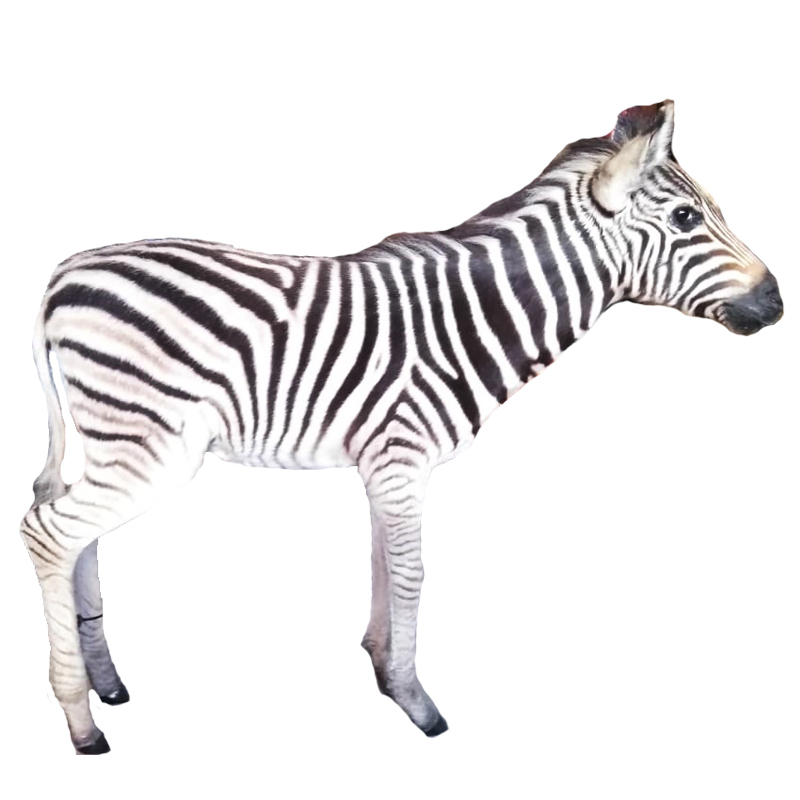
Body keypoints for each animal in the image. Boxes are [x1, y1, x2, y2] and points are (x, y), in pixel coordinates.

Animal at [20, 102, 784, 753]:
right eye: (685, 217)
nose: (776, 298)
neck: (471, 320)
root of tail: (64, 278)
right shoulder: (401, 454)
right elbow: (413, 572)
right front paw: (417, 706)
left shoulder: (385, 460)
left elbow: (388, 563)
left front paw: (386, 670)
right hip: (152, 443)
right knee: (50, 533)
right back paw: (83, 722)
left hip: (103, 439)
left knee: (78, 541)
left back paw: (105, 684)